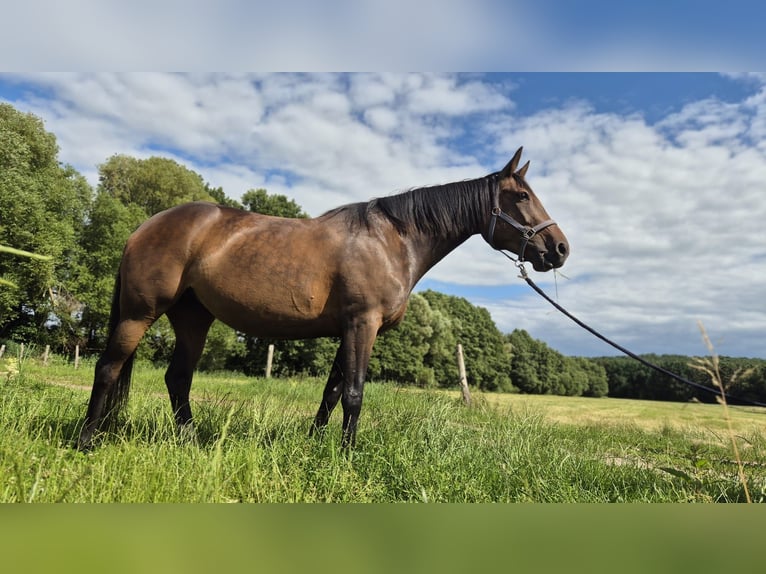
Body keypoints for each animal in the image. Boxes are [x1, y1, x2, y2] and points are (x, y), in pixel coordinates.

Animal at [78, 146, 568, 452]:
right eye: (521, 196)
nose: (560, 249)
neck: (392, 239)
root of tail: (144, 227)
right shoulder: (362, 324)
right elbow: (353, 393)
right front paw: (347, 456)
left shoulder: (350, 329)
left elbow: (331, 393)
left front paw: (316, 446)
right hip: (139, 314)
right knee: (108, 369)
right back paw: (86, 441)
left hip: (193, 319)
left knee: (178, 379)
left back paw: (191, 442)